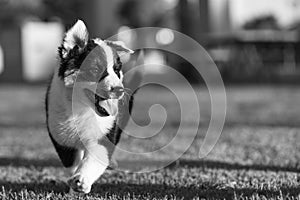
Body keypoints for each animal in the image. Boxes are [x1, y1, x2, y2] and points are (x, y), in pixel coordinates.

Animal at [45, 19, 135, 192]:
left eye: (117, 70)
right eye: (95, 70)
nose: (119, 90)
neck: (81, 108)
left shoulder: (105, 132)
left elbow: (96, 156)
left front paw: (81, 179)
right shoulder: (61, 138)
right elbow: (72, 162)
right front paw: (73, 186)